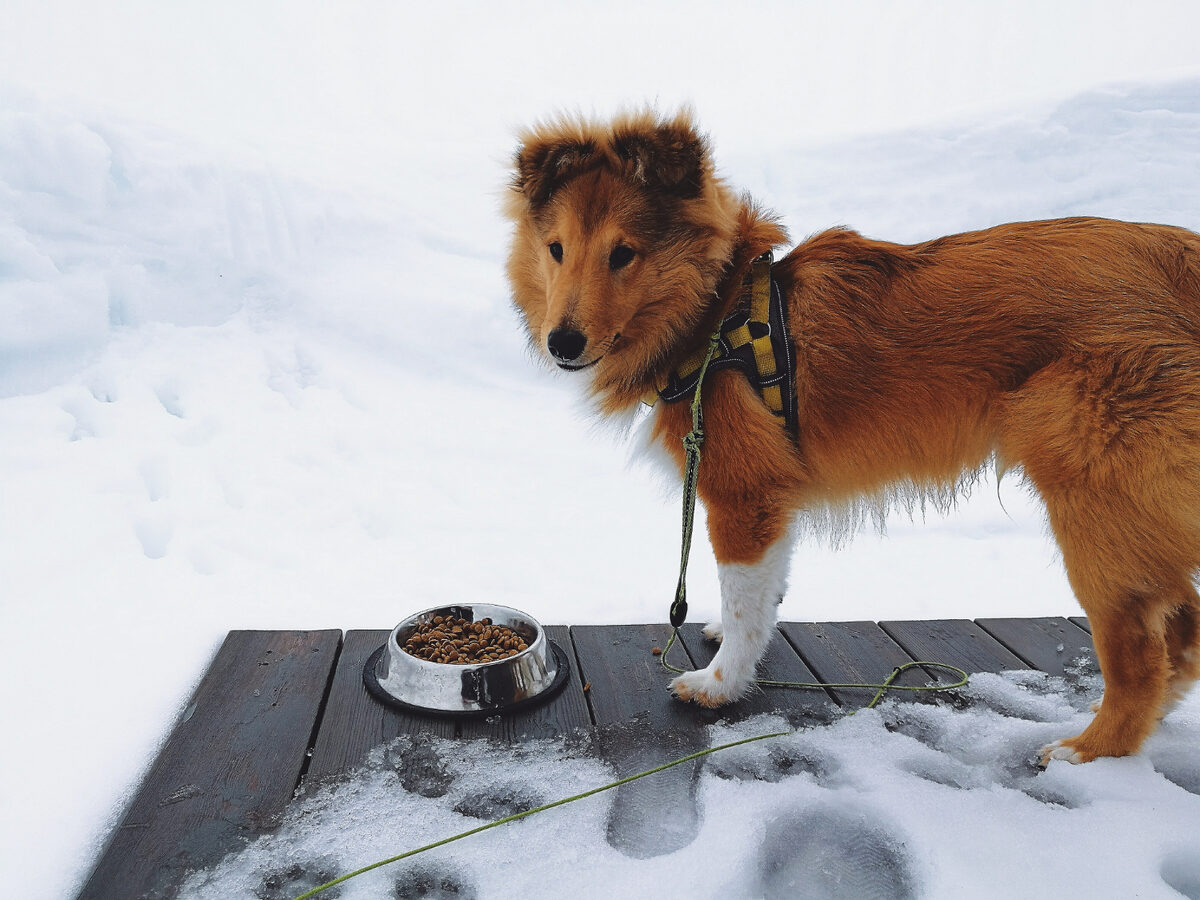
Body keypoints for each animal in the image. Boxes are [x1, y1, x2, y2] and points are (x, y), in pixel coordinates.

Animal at [501, 109, 1200, 763]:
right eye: (556, 249)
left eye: (623, 253)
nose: (561, 344)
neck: (716, 312)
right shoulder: (775, 496)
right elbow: (765, 592)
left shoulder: (741, 494)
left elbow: (745, 600)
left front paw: (721, 682)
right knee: (1183, 633)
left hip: (1094, 507)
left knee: (1144, 652)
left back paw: (1089, 750)